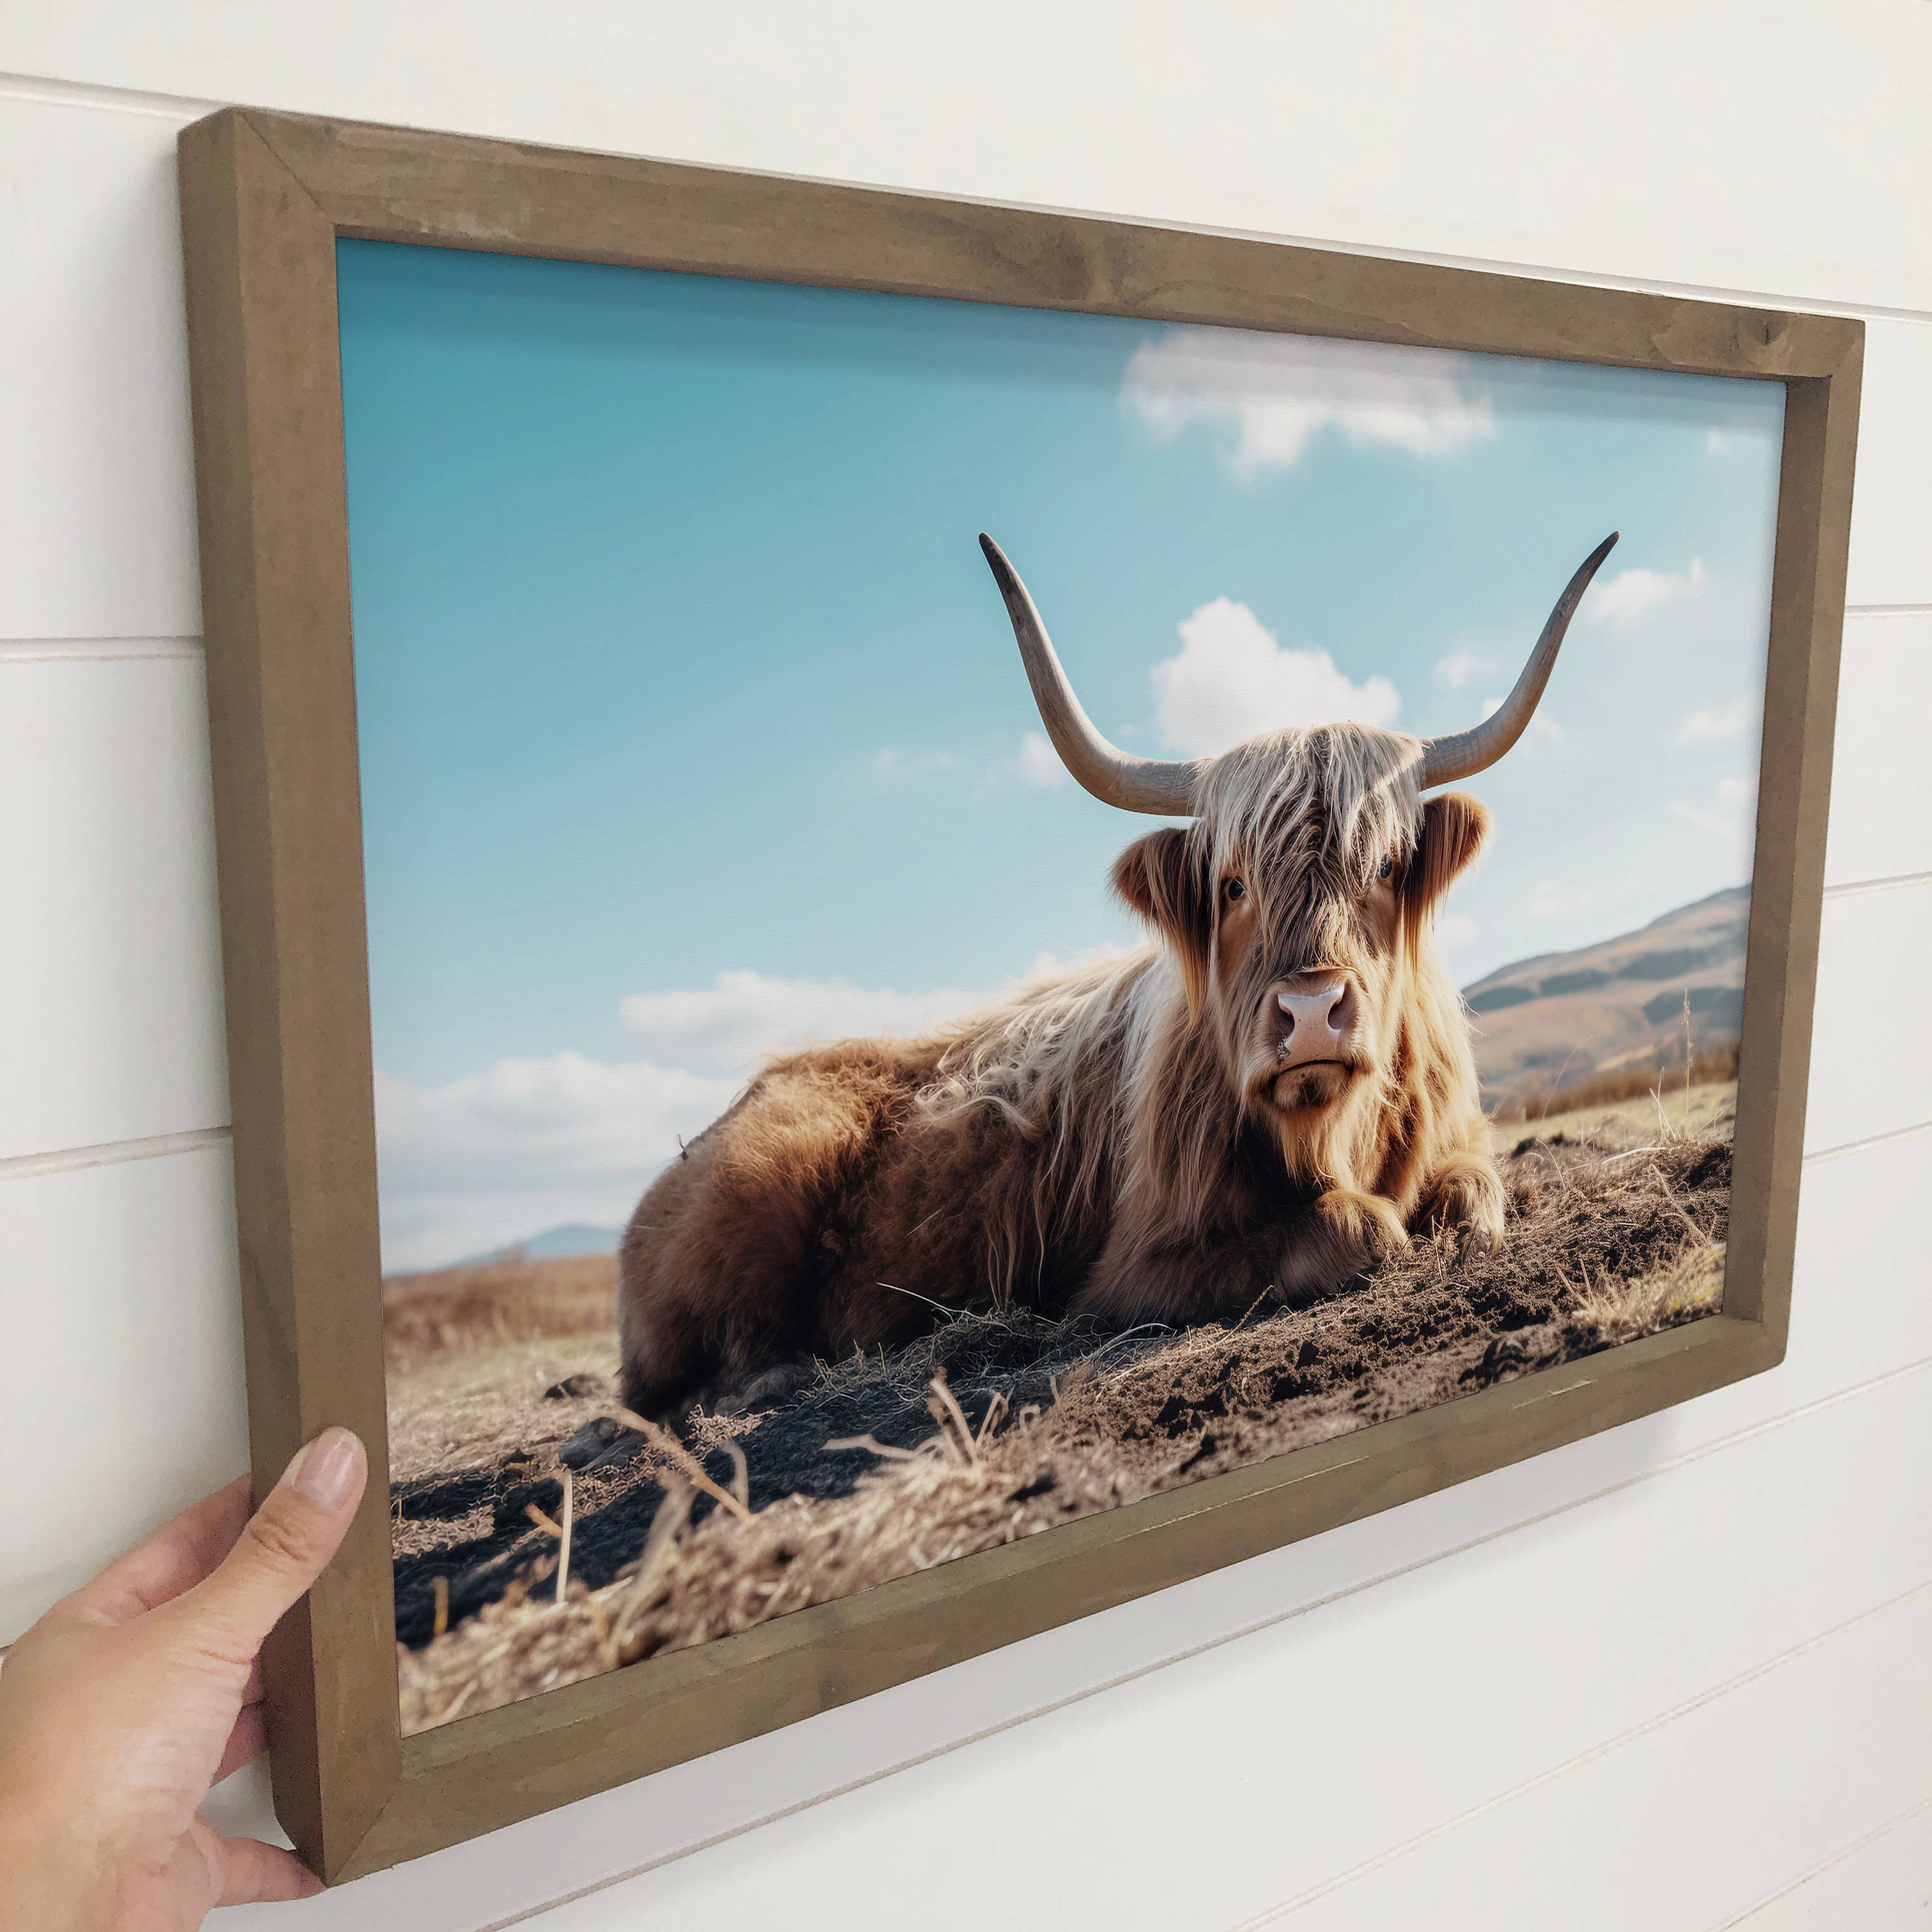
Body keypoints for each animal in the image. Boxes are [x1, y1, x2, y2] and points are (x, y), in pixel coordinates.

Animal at [614, 529, 1615, 1422]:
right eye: (1232, 883)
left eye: (1385, 867)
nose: (1311, 1014)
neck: (1330, 1136)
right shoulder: (1126, 1270)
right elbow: (1357, 1226)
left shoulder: (1457, 1144)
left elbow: (1476, 1199)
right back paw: (768, 1383)